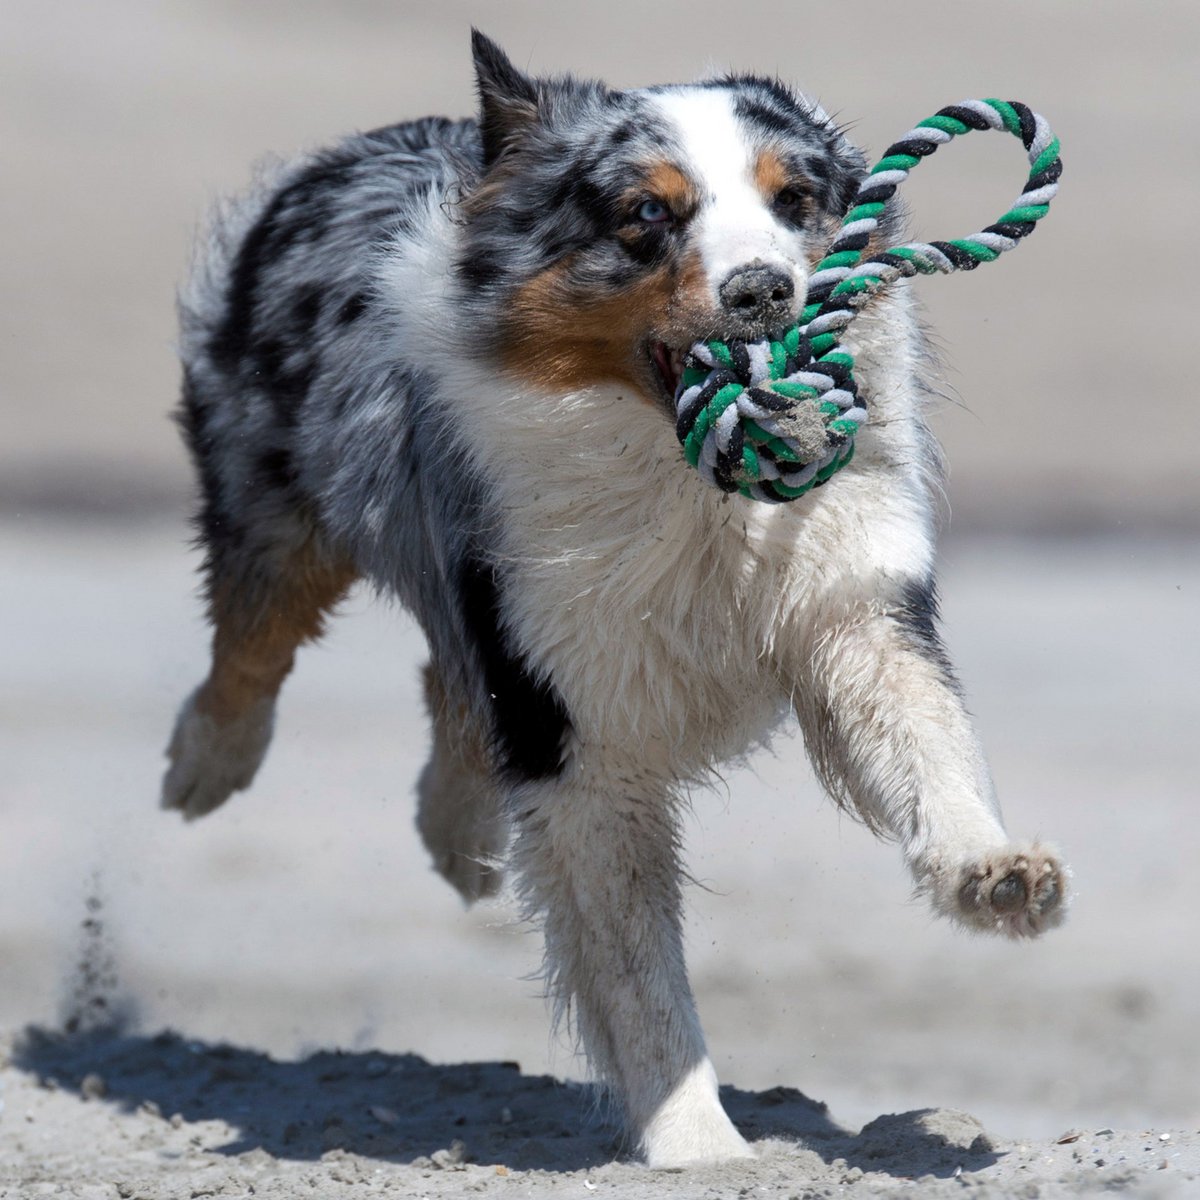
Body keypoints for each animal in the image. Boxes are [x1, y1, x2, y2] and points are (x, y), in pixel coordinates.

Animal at [162, 32, 1070, 1166]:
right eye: (647, 214)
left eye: (794, 198)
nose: (765, 289)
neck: (692, 489)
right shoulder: (573, 718)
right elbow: (639, 979)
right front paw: (702, 1148)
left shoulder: (851, 598)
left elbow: (927, 738)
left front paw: (993, 873)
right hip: (283, 501)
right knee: (255, 634)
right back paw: (205, 764)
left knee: (445, 679)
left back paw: (456, 832)